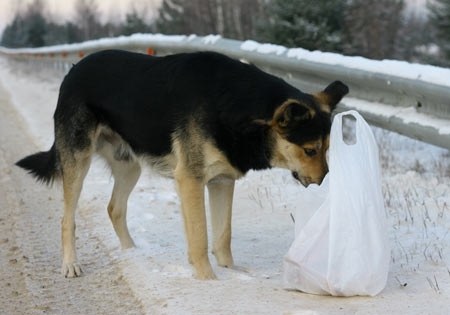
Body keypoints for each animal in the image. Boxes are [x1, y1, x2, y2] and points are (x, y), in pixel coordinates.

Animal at [16, 50, 348, 280]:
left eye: (328, 149)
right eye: (309, 150)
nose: (324, 182)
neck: (235, 106)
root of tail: (73, 71)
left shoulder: (221, 181)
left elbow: (222, 236)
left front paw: (231, 271)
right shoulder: (191, 179)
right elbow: (200, 236)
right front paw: (209, 280)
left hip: (130, 165)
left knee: (115, 208)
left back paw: (132, 253)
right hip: (78, 160)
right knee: (67, 218)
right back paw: (71, 264)